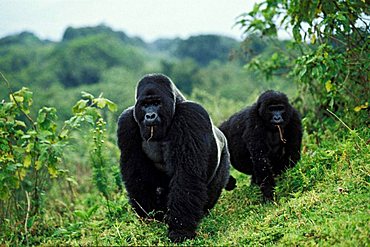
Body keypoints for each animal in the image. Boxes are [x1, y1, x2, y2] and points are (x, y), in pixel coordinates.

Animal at [117, 74, 230, 243]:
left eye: (157, 103)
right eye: (145, 105)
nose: (150, 115)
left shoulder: (191, 115)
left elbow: (186, 175)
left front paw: (180, 230)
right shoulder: (126, 122)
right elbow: (136, 176)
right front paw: (149, 217)